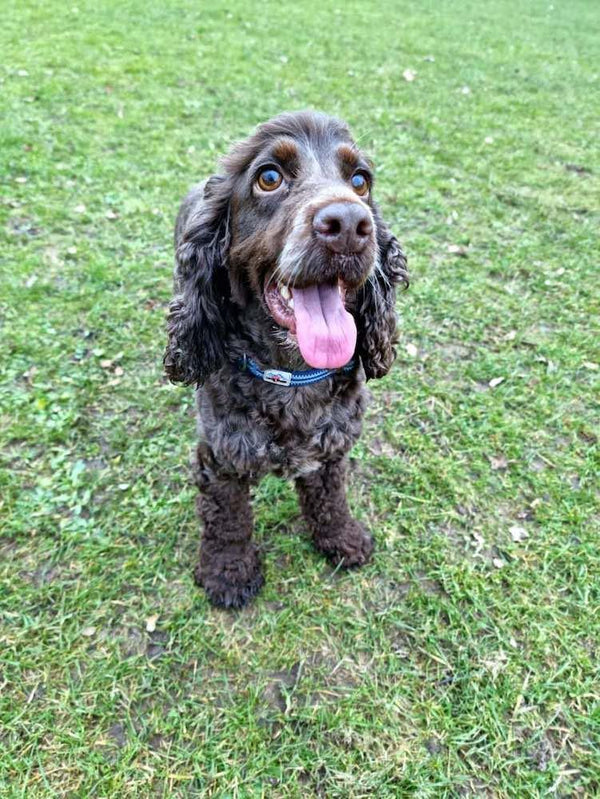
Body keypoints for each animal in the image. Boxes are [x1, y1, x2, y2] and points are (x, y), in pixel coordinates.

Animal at [164, 112, 408, 608]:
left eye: (360, 181)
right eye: (269, 177)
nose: (349, 224)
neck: (290, 375)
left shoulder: (332, 445)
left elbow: (330, 498)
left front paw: (342, 538)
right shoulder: (219, 455)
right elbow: (227, 518)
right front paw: (228, 573)